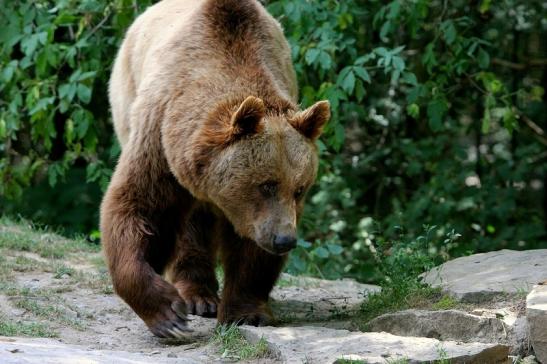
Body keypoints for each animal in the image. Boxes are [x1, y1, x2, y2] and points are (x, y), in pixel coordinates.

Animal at [100, 0, 332, 338]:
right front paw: (168, 314)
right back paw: (198, 296)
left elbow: (250, 246)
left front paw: (247, 312)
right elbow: (141, 206)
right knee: (188, 226)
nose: (284, 240)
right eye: (266, 184)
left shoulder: (253, 212)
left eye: (300, 189)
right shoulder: (159, 133)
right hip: (126, 94)